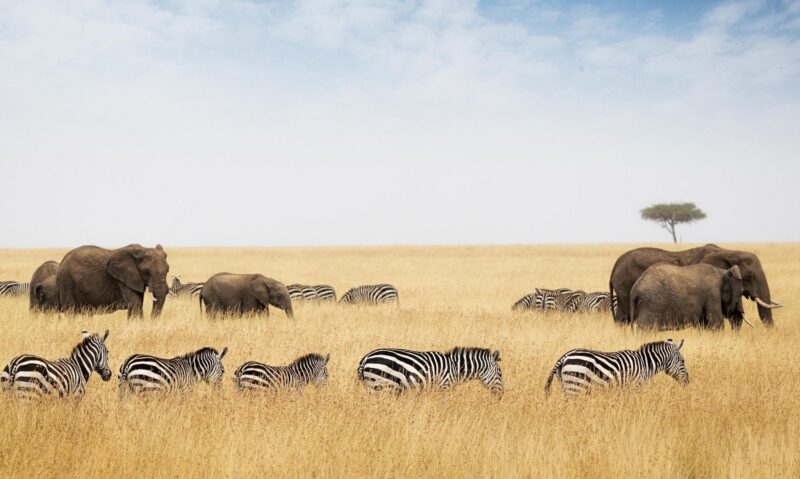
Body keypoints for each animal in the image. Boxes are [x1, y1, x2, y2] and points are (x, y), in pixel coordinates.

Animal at [357, 347, 503, 397]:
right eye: (500, 374)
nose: (501, 395)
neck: (455, 368)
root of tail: (366, 358)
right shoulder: (444, 386)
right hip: (381, 386)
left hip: (373, 387)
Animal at [544, 339, 689, 396]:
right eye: (683, 361)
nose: (688, 382)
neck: (645, 364)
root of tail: (565, 356)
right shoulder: (637, 385)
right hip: (575, 386)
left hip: (566, 385)